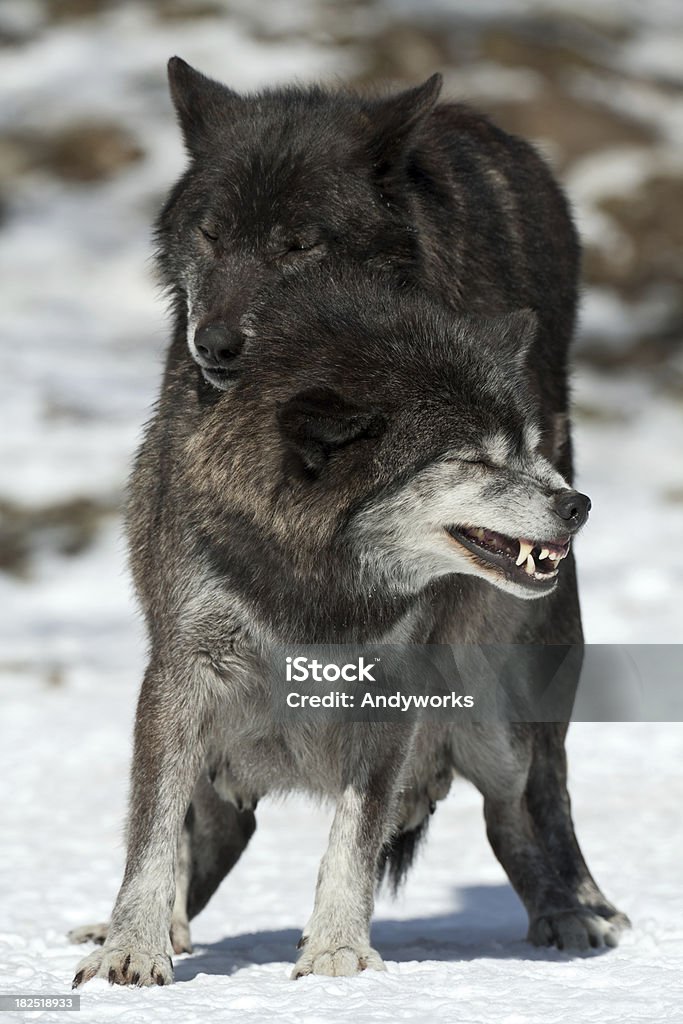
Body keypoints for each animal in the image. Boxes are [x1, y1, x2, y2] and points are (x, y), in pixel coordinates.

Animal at [70, 61, 630, 983]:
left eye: (301, 244)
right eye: (211, 235)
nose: (575, 505)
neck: (317, 571)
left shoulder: (397, 690)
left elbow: (353, 837)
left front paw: (334, 953)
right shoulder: (181, 674)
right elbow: (150, 834)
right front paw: (133, 950)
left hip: (496, 710)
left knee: (529, 799)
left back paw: (575, 914)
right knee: (208, 829)